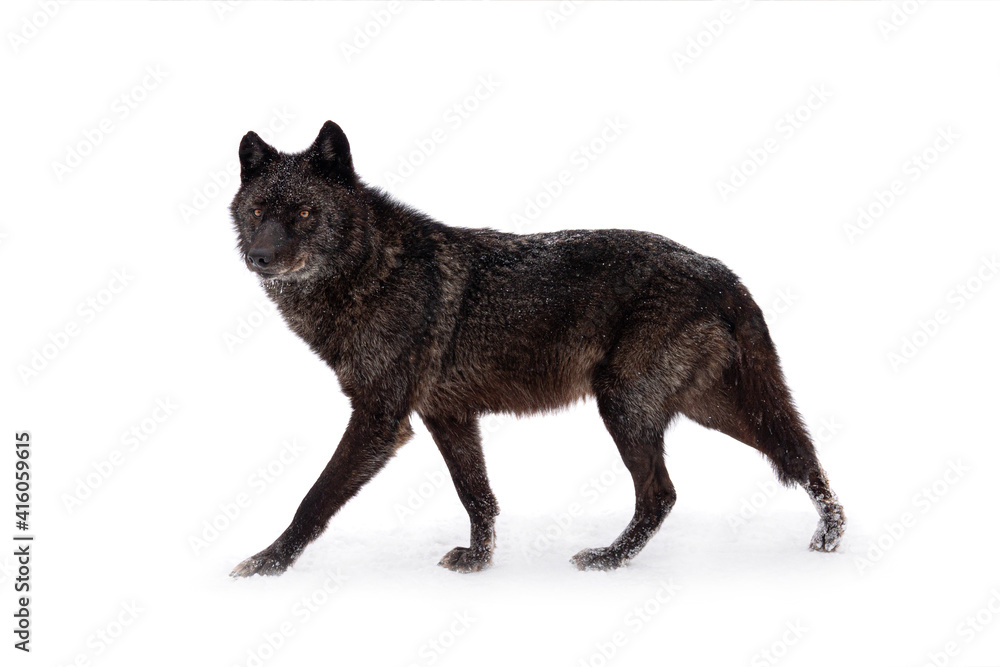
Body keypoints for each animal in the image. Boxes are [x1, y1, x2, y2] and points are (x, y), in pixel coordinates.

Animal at [228, 121, 844, 576]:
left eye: (305, 212)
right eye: (257, 211)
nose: (259, 257)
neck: (372, 269)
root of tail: (721, 273)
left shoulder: (380, 419)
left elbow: (316, 497)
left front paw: (266, 564)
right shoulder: (447, 415)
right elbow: (477, 495)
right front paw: (478, 560)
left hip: (627, 405)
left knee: (664, 494)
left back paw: (608, 559)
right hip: (712, 408)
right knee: (799, 454)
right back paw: (829, 536)